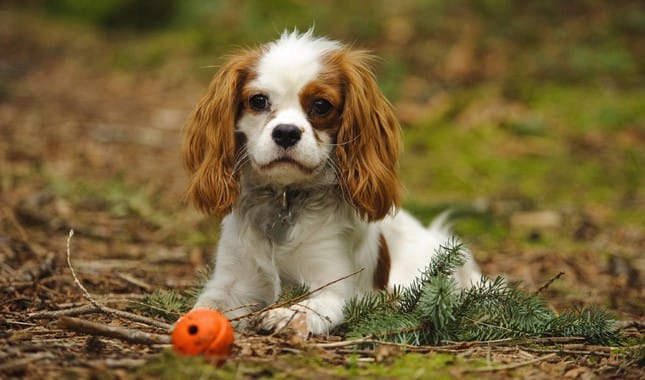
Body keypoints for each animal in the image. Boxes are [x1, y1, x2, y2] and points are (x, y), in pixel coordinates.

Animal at [181, 31, 478, 336]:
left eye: (321, 105)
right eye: (258, 101)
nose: (285, 132)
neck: (285, 201)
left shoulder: (335, 289)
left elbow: (308, 307)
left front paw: (283, 315)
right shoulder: (231, 282)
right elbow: (206, 306)